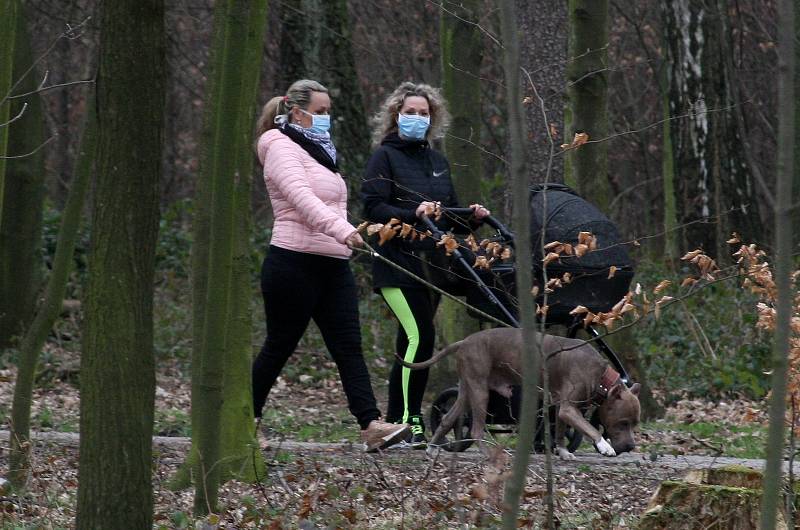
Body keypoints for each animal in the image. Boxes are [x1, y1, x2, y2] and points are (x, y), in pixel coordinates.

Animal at [404, 324, 640, 456]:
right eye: (622, 423)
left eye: (634, 424)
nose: (630, 446)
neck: (602, 378)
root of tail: (464, 341)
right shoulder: (568, 408)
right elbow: (589, 427)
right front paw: (604, 446)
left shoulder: (562, 408)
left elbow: (561, 431)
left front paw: (563, 452)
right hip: (480, 392)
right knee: (476, 429)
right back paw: (486, 452)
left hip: (467, 391)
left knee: (447, 419)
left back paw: (432, 448)